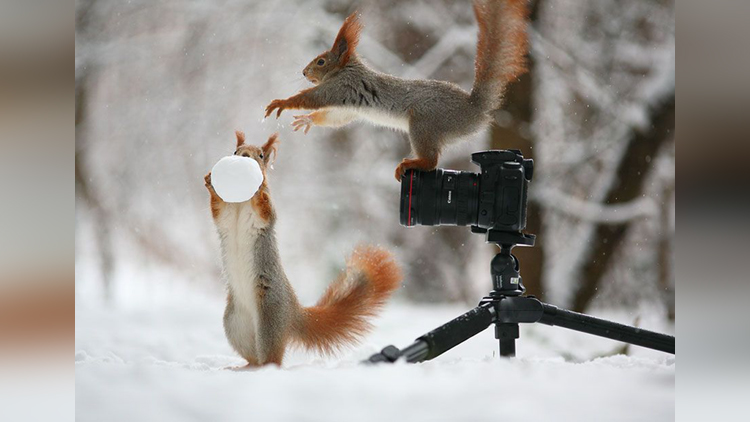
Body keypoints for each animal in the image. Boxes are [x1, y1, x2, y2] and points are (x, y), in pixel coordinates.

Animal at [206, 131, 402, 366]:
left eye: (261, 155)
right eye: (235, 151)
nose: (243, 156)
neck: (241, 203)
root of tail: (293, 312)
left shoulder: (264, 218)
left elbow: (265, 211)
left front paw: (259, 191)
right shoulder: (226, 218)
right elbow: (219, 213)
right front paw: (210, 182)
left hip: (270, 321)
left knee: (272, 359)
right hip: (235, 325)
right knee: (254, 357)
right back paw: (244, 368)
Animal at [268, 0, 532, 180]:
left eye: (321, 61)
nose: (304, 72)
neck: (345, 70)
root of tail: (474, 109)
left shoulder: (341, 87)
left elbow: (314, 97)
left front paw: (282, 102)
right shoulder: (347, 106)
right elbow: (335, 117)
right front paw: (308, 120)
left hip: (425, 124)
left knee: (432, 161)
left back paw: (411, 164)